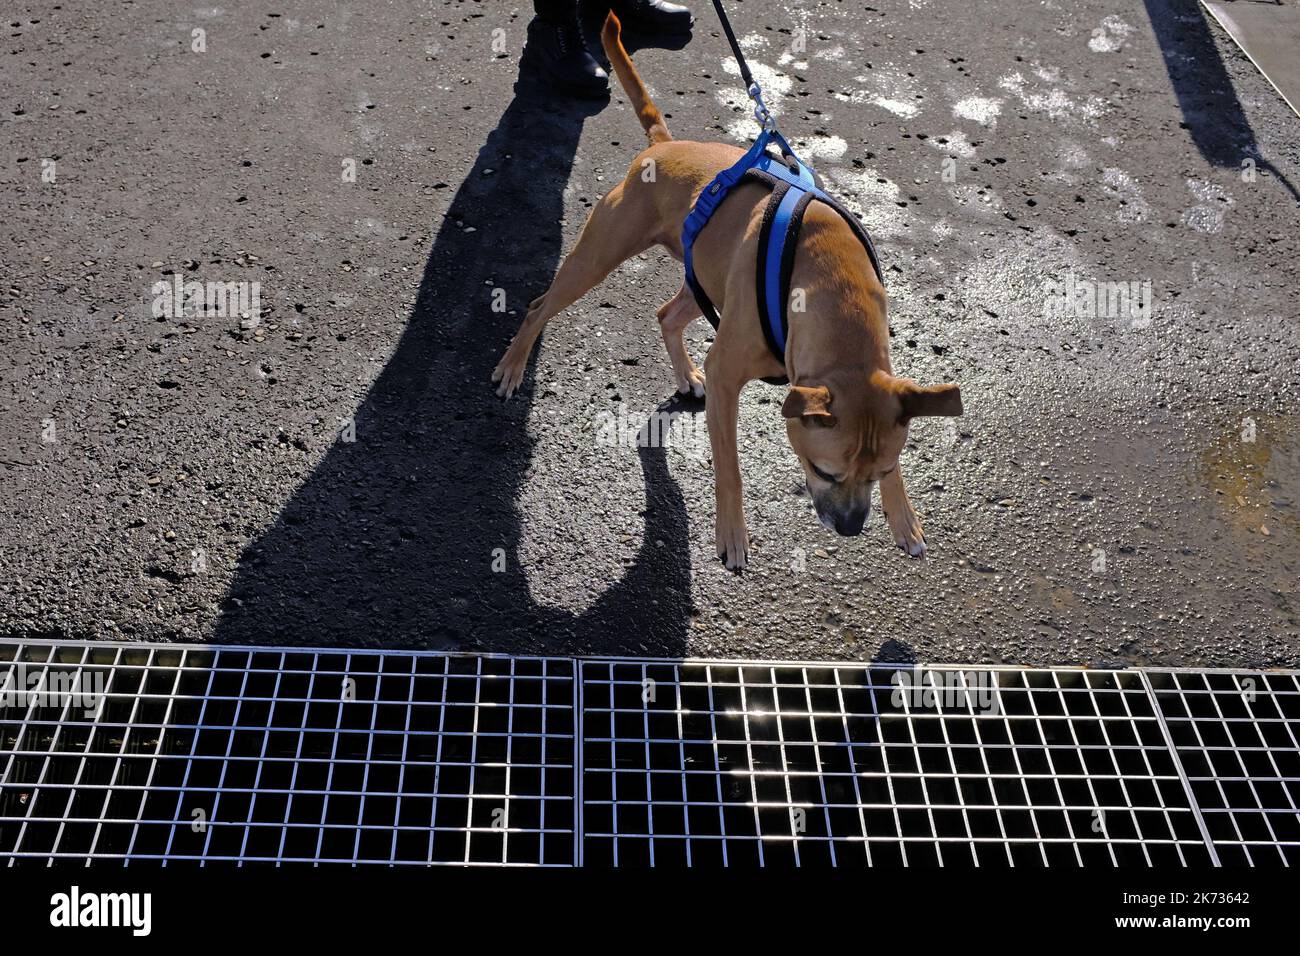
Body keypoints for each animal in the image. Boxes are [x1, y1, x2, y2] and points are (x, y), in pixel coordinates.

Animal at [491, 13, 961, 567]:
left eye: (881, 471)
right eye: (823, 471)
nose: (850, 529)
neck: (837, 292)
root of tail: (663, 143)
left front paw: (903, 515)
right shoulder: (726, 375)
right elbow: (730, 467)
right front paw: (733, 534)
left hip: (705, 279)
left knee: (666, 314)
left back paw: (681, 371)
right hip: (598, 257)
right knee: (539, 305)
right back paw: (512, 367)